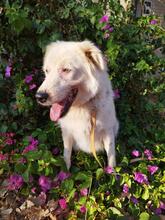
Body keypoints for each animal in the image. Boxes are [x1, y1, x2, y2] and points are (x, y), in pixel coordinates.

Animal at [36, 40, 118, 169]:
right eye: (47, 71)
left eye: (66, 70)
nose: (39, 97)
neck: (82, 107)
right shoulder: (67, 132)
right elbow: (66, 154)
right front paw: (65, 171)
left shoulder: (108, 130)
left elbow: (111, 155)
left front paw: (112, 172)